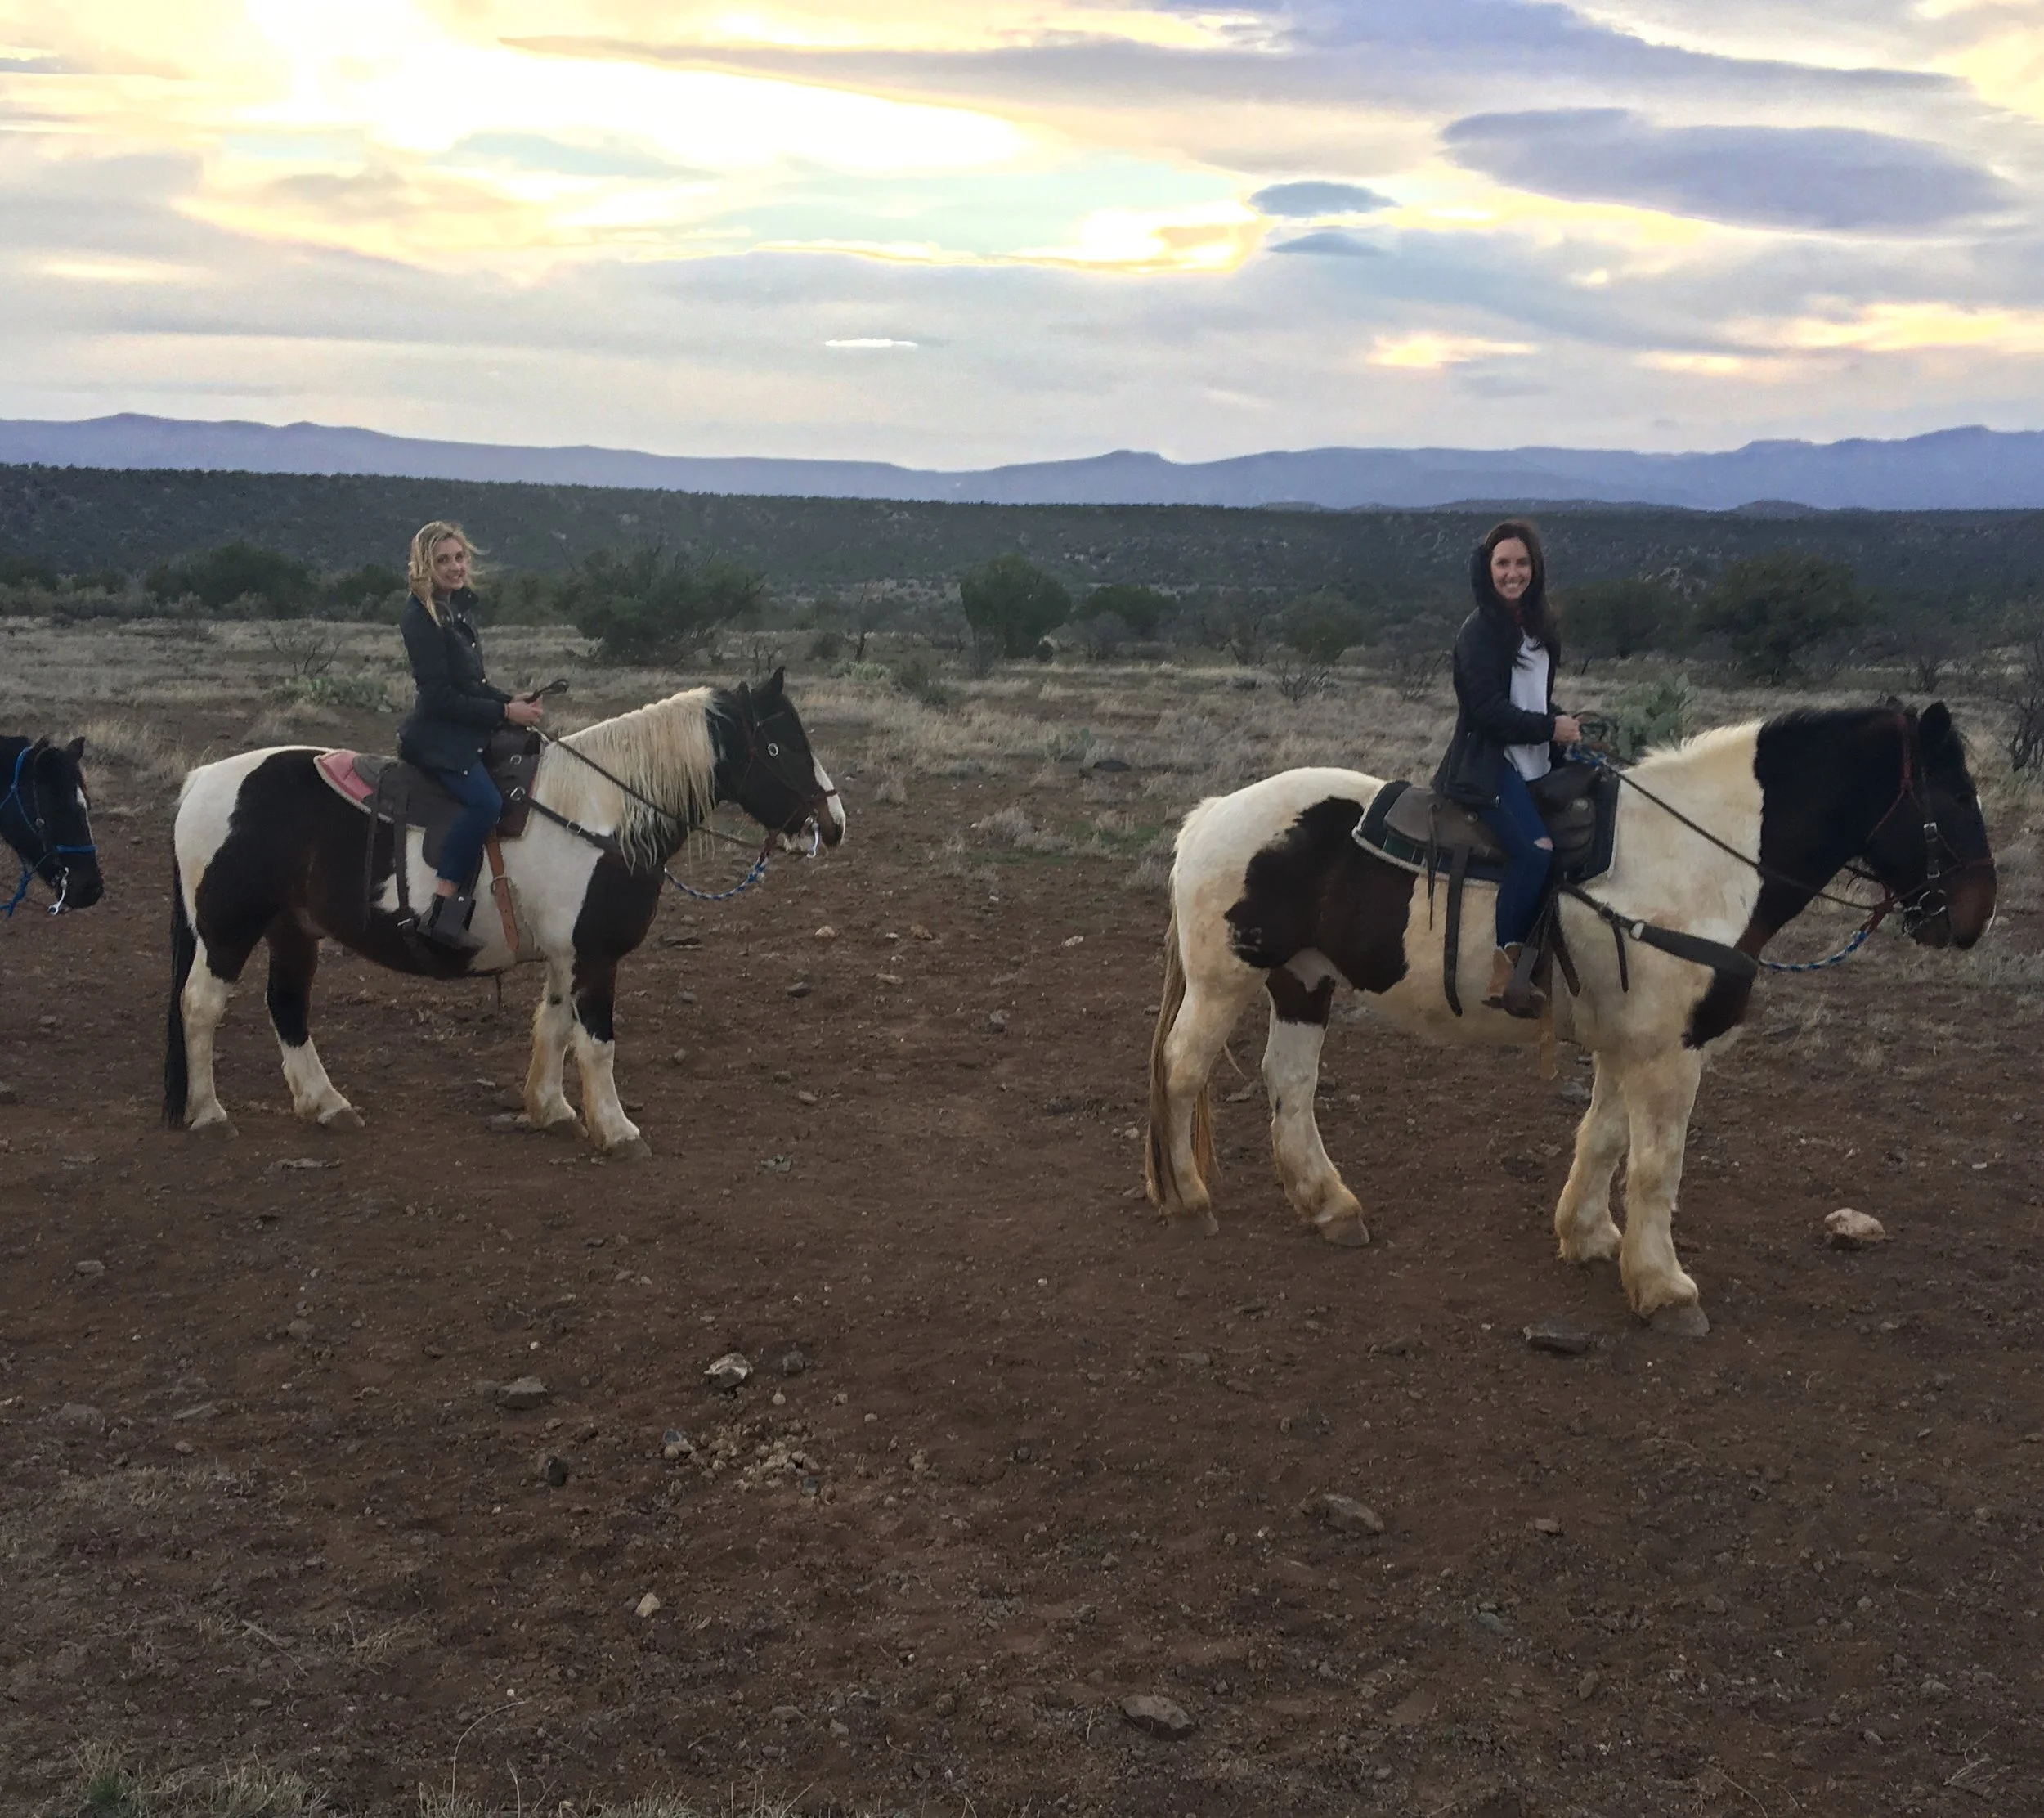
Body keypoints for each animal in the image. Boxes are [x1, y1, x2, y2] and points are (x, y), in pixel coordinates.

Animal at [164, 668, 844, 1154]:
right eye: (778, 745)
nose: (833, 824)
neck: (600, 814)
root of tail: (200, 780)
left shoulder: (567, 956)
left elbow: (554, 1027)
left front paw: (551, 1109)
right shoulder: (595, 956)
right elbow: (597, 1041)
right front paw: (617, 1129)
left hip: (294, 928)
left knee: (286, 1005)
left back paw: (327, 1103)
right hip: (227, 929)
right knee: (200, 1006)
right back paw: (210, 1113)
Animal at [1145, 703, 1996, 1332]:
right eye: (1956, 797)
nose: (1976, 917)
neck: (1698, 863)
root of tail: (1213, 813)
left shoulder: (1631, 1043)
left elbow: (1606, 1137)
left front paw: (1588, 1236)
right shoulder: (1670, 1053)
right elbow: (1657, 1166)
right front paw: (1665, 1287)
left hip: (1304, 979)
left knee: (1289, 1084)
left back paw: (1329, 1206)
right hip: (1227, 979)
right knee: (1183, 1069)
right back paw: (1187, 1200)